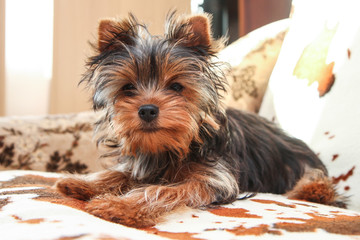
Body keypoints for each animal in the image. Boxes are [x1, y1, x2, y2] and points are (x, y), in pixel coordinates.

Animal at [55, 12, 346, 228]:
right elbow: (119, 172)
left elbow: (162, 190)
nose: (147, 110)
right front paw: (82, 183)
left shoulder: (213, 179)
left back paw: (312, 191)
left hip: (303, 165)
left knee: (317, 181)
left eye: (176, 87)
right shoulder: (144, 164)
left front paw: (119, 205)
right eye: (127, 88)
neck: (172, 145)